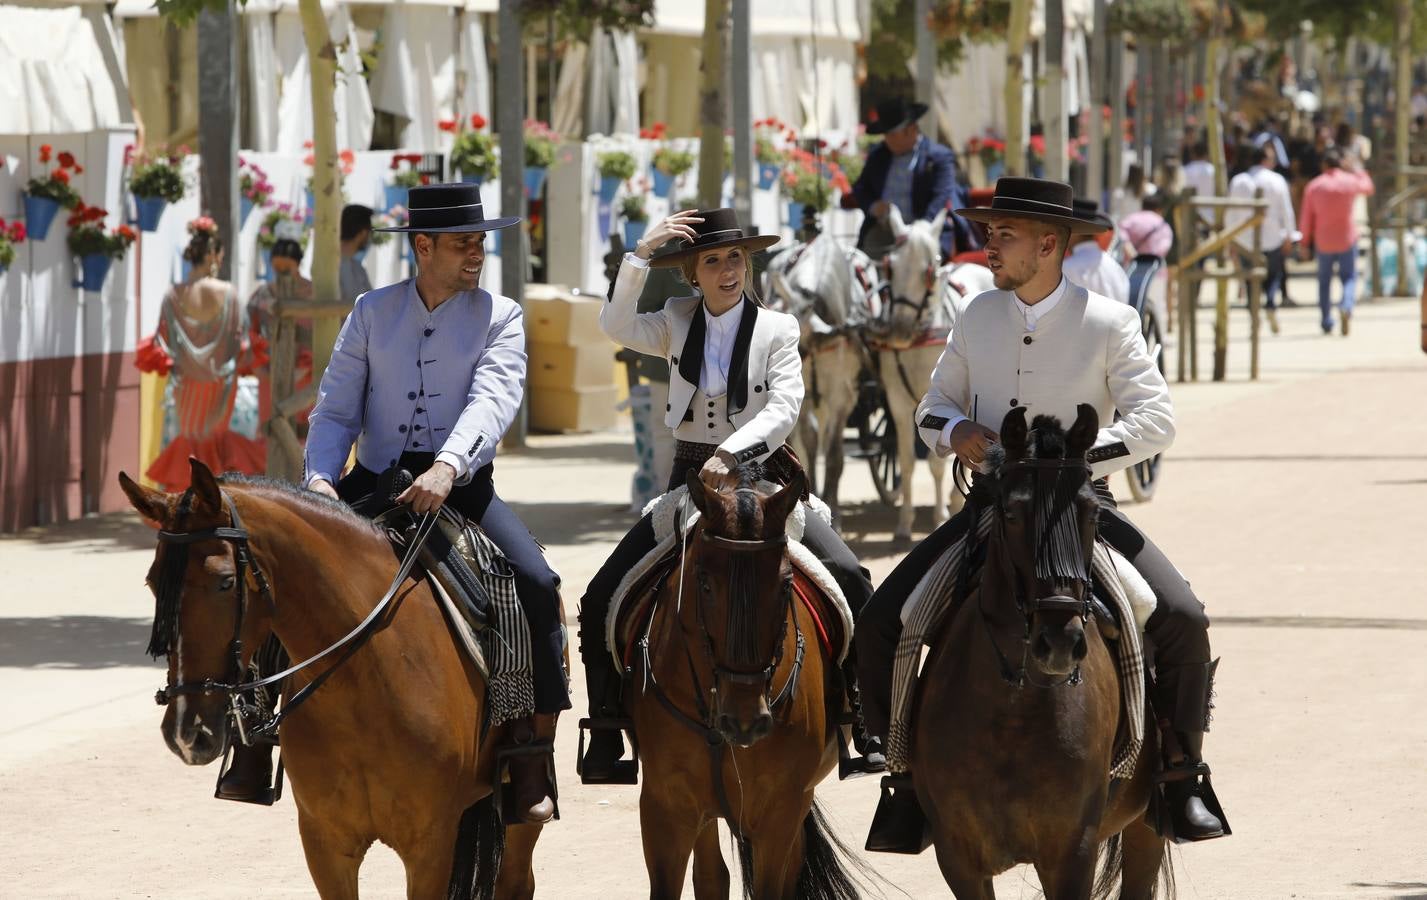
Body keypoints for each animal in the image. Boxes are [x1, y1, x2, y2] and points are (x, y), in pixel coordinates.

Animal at [119, 462, 542, 900]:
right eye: (152, 582)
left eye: (225, 582)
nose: (186, 733)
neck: (365, 687)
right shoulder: (325, 842)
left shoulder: (429, 845)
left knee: (518, 879)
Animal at [619, 467, 861, 895]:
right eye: (704, 583)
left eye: (785, 584)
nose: (744, 721)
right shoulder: (665, 806)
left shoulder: (780, 810)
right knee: (712, 875)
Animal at [861, 208, 998, 544]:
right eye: (889, 266)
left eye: (929, 270)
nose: (898, 331)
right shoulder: (898, 401)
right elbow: (907, 461)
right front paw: (904, 523)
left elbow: (937, 463)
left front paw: (939, 517)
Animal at [913, 407, 1170, 900]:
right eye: (1012, 513)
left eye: (1091, 512)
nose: (1060, 643)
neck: (1013, 709)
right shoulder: (958, 858)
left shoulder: (1071, 855)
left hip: (1146, 825)